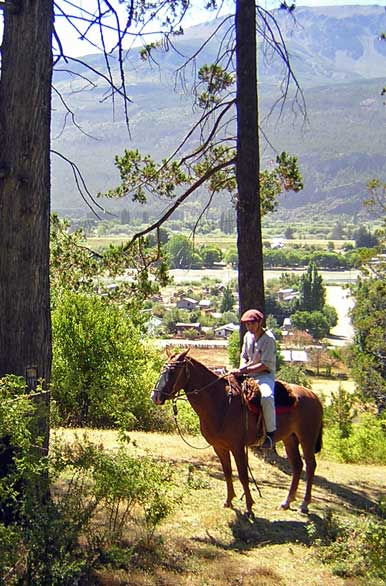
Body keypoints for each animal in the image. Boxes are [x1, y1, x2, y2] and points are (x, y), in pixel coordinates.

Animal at [151, 350, 322, 512]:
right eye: (162, 369)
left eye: (173, 371)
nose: (155, 396)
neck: (220, 402)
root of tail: (314, 396)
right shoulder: (219, 447)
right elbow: (227, 472)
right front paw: (229, 500)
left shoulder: (238, 447)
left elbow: (243, 475)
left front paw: (249, 507)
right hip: (290, 438)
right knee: (298, 466)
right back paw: (287, 502)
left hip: (306, 438)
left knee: (310, 465)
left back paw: (305, 504)